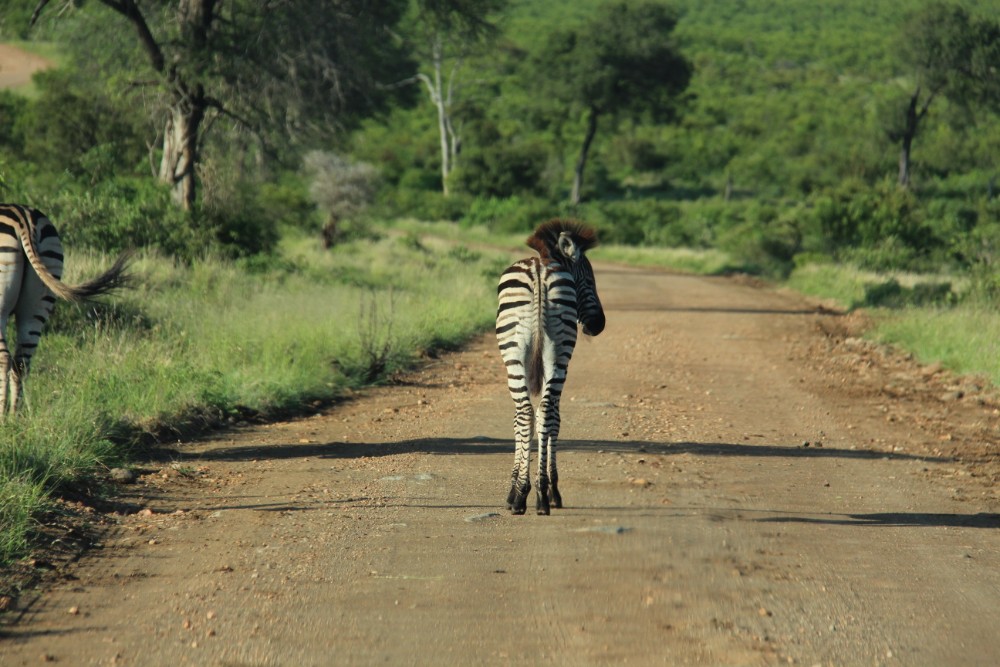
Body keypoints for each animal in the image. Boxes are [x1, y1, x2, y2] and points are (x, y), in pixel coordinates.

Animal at [0, 204, 132, 414]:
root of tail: (24, 217)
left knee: (6, 358)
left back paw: (4, 416)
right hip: (38, 303)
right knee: (22, 362)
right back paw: (14, 416)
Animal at [496, 219, 604, 516]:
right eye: (588, 280)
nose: (599, 325)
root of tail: (539, 271)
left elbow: (528, 421)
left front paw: (524, 488)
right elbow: (550, 420)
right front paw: (543, 489)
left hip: (526, 355)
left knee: (530, 413)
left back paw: (526, 496)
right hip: (554, 353)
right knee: (539, 413)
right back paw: (537, 496)